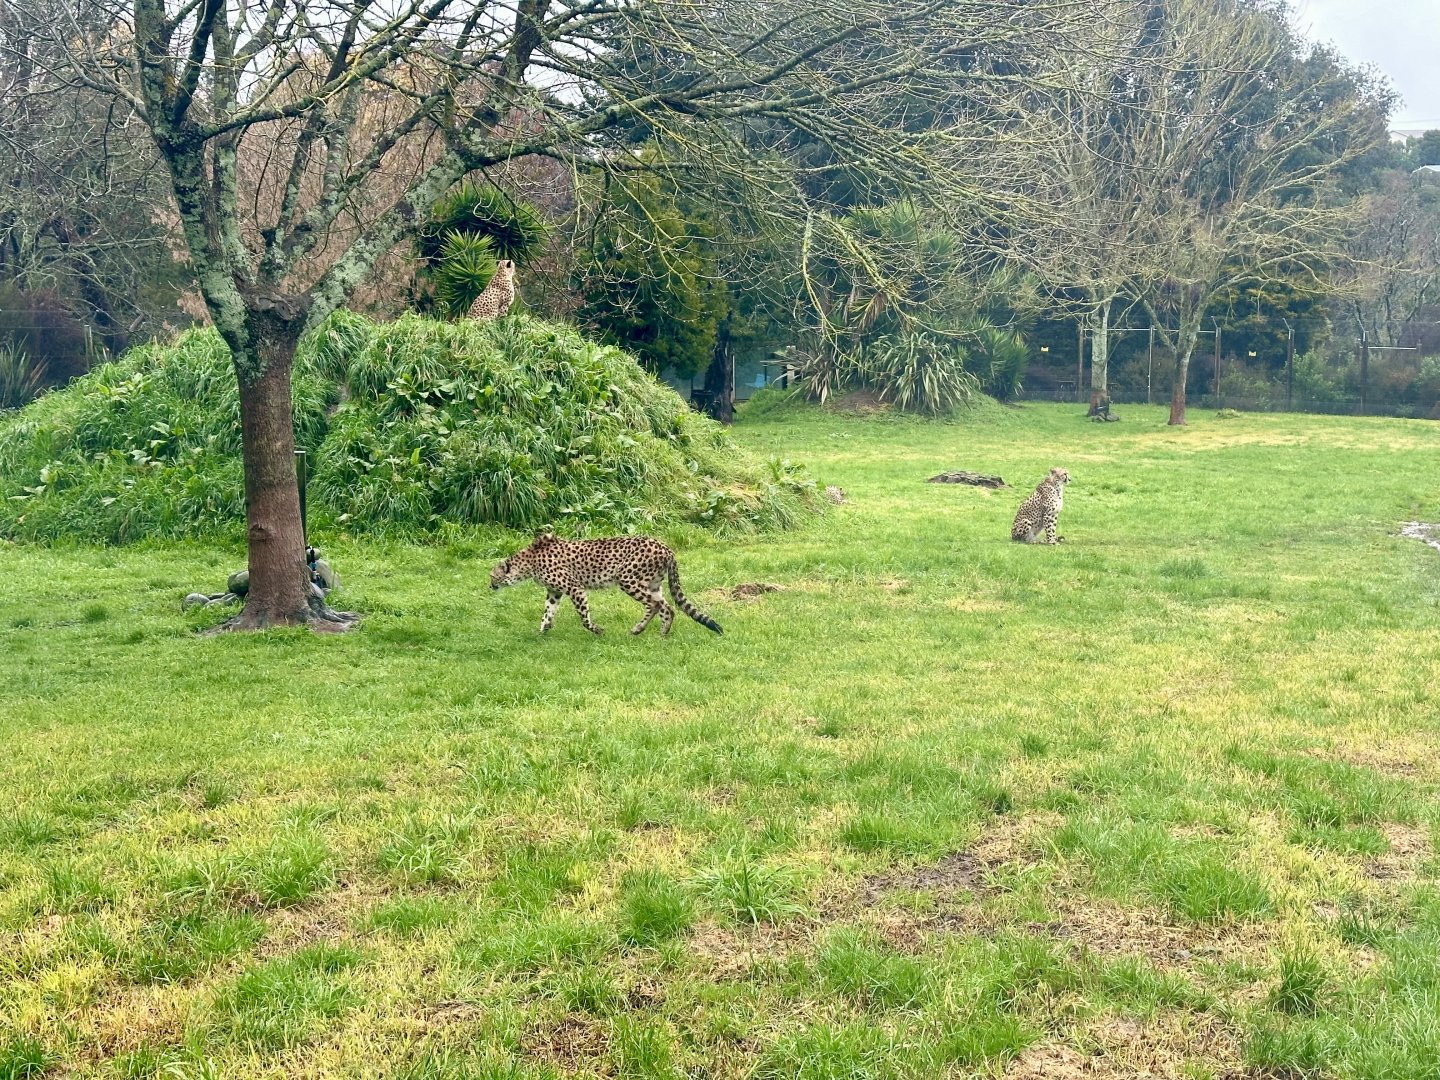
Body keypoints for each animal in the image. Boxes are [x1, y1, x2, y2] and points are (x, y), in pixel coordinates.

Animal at [489, 531, 723, 636]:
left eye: (492, 577)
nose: (489, 586)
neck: (528, 562)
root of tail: (665, 546)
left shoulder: (575, 588)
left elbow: (583, 617)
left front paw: (596, 630)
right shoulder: (554, 592)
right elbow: (547, 612)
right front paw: (543, 631)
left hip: (628, 579)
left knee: (655, 604)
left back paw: (642, 629)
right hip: (653, 584)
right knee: (667, 607)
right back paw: (661, 632)